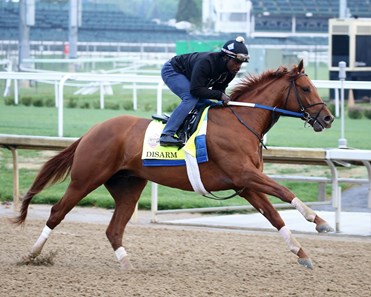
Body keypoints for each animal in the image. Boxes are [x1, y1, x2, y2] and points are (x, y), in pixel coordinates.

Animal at [13, 59, 334, 268]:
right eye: (306, 88)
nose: (328, 118)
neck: (240, 122)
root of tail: (91, 131)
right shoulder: (244, 174)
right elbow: (284, 192)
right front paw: (319, 221)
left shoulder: (245, 184)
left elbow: (274, 216)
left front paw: (302, 253)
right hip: (85, 178)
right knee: (57, 212)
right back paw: (31, 255)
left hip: (128, 186)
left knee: (114, 229)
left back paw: (126, 263)